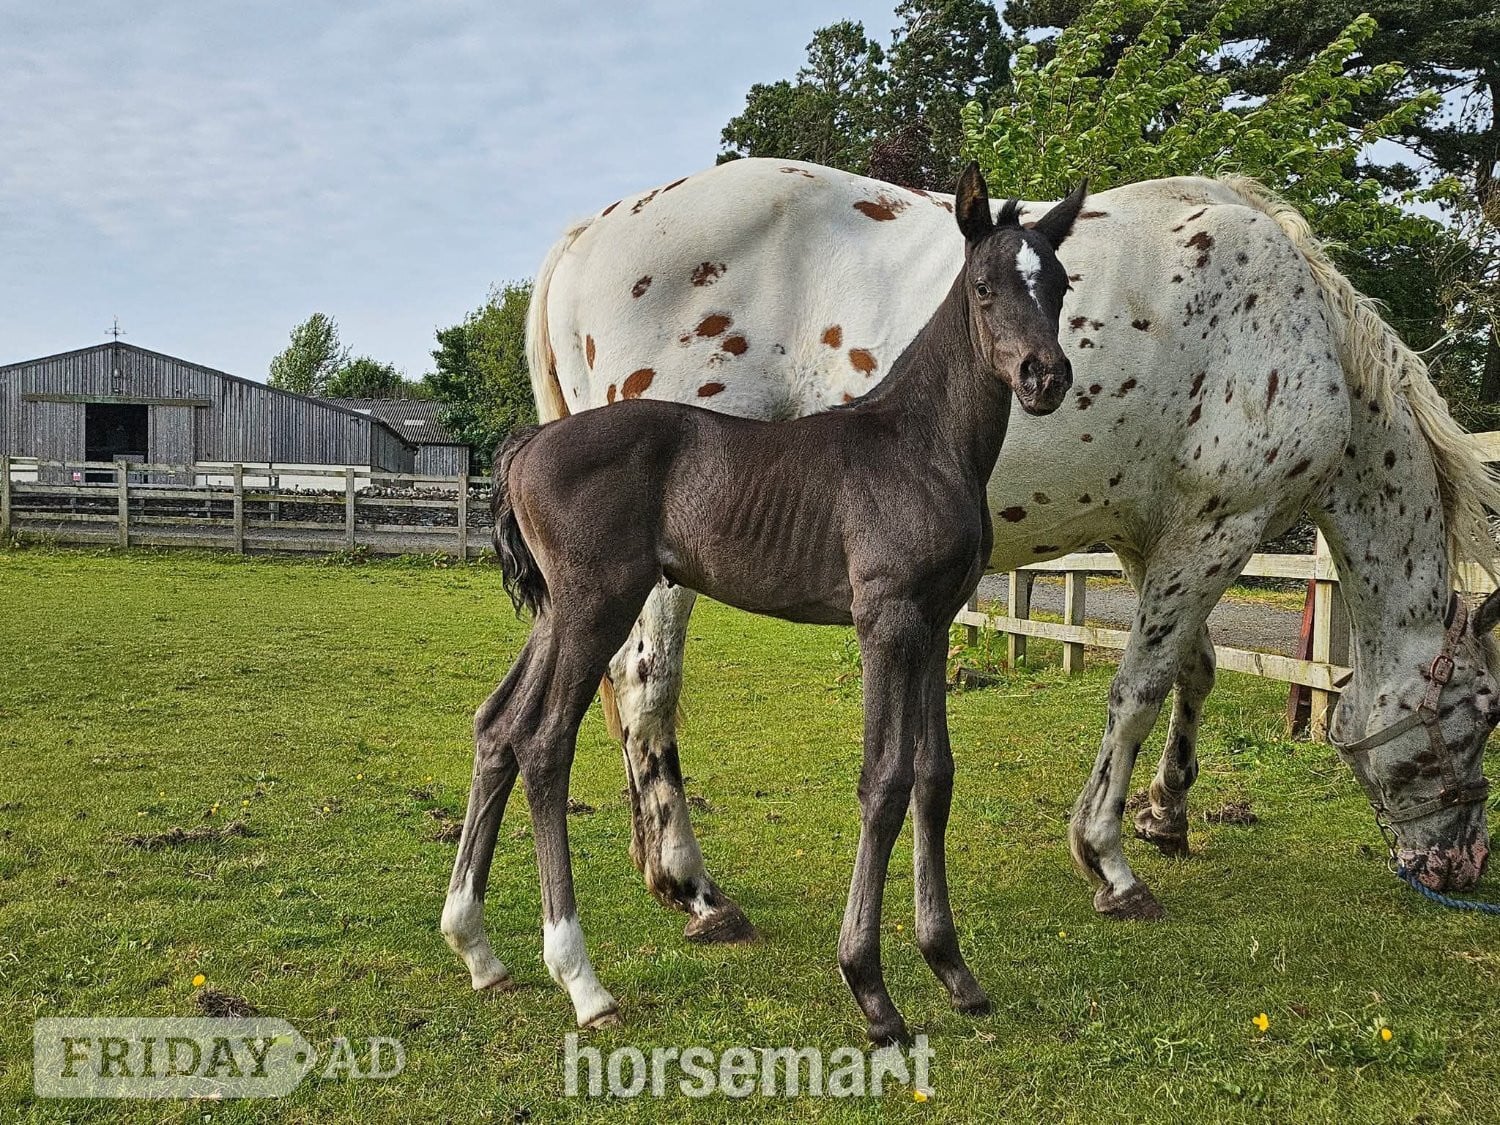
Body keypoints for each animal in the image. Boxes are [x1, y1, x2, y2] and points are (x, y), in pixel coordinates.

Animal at [441, 166, 1088, 1045]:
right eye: (985, 286)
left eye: (1057, 283)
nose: (1043, 377)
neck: (919, 442)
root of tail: (526, 447)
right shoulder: (884, 620)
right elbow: (884, 779)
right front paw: (870, 989)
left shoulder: (933, 623)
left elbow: (934, 777)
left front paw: (953, 969)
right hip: (596, 605)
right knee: (543, 741)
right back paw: (582, 980)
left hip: (556, 614)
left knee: (497, 726)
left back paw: (478, 948)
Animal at [522, 158, 1500, 936]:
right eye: (1482, 717)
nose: (1461, 866)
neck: (1305, 332)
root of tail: (584, 238)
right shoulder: (1222, 524)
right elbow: (1139, 686)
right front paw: (1108, 857)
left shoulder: (1159, 533)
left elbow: (1194, 667)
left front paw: (1167, 813)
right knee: (646, 686)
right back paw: (694, 888)